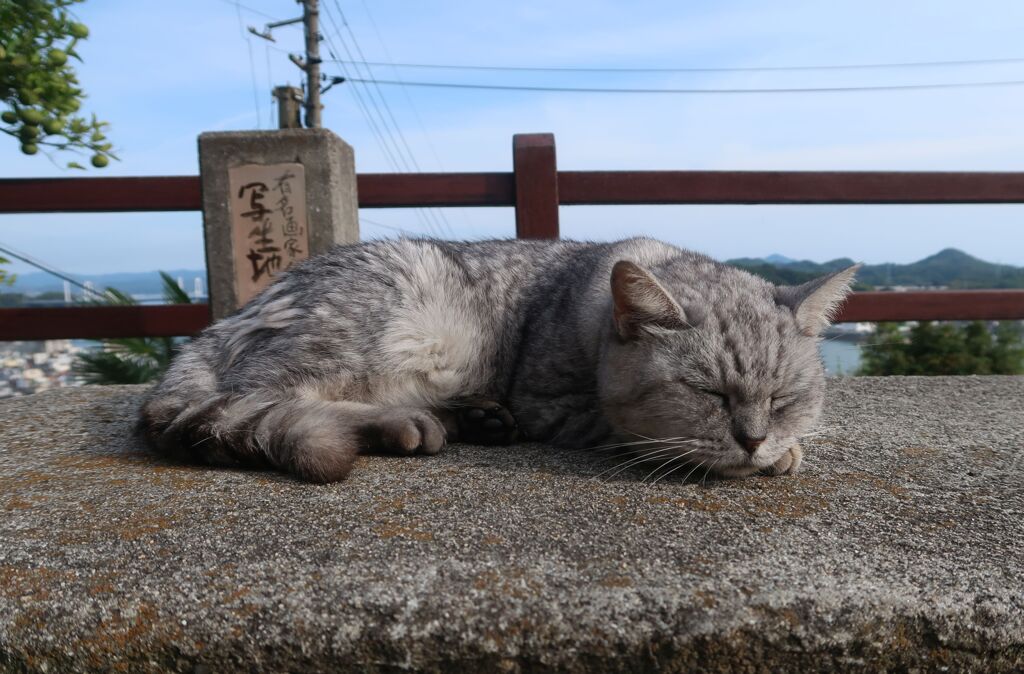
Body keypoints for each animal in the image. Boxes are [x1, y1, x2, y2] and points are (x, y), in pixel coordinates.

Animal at [136, 236, 856, 477]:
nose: (753, 439)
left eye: (785, 397)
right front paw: (775, 453)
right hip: (382, 321)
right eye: (708, 394)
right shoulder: (552, 403)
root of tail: (217, 325)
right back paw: (409, 425)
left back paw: (470, 419)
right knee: (271, 398)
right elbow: (629, 430)